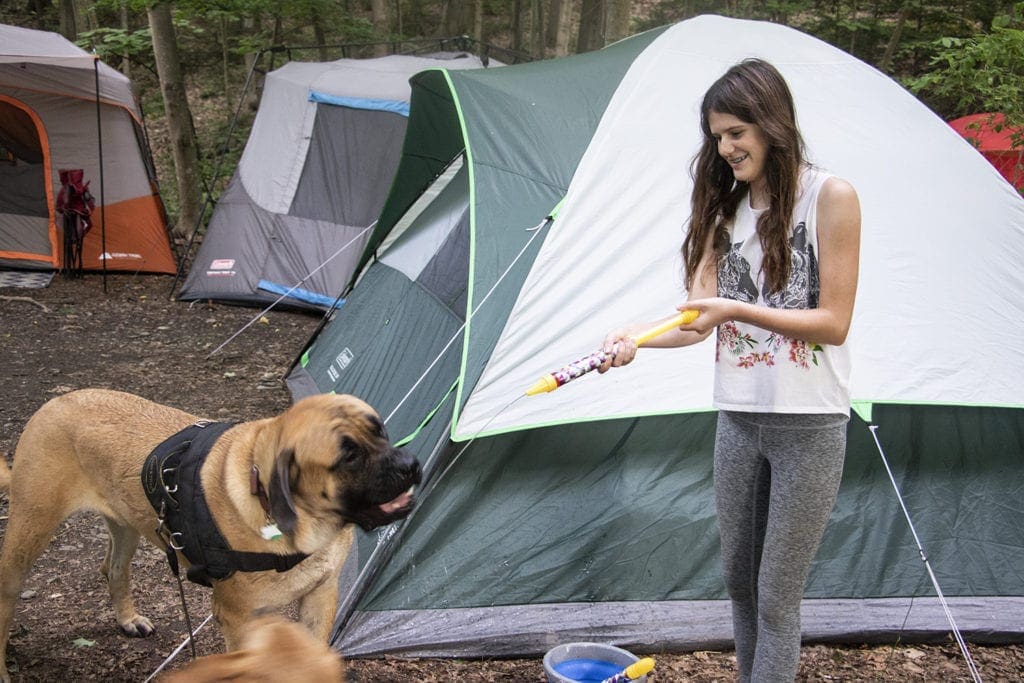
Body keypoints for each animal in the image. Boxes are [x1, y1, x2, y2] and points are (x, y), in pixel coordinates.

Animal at [0, 387, 423, 679]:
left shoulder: (320, 597)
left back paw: (128, 619)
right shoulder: (239, 619)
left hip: (126, 523)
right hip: (29, 529)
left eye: (380, 430)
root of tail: (56, 401)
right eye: (348, 455)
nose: (412, 464)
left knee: (113, 569)